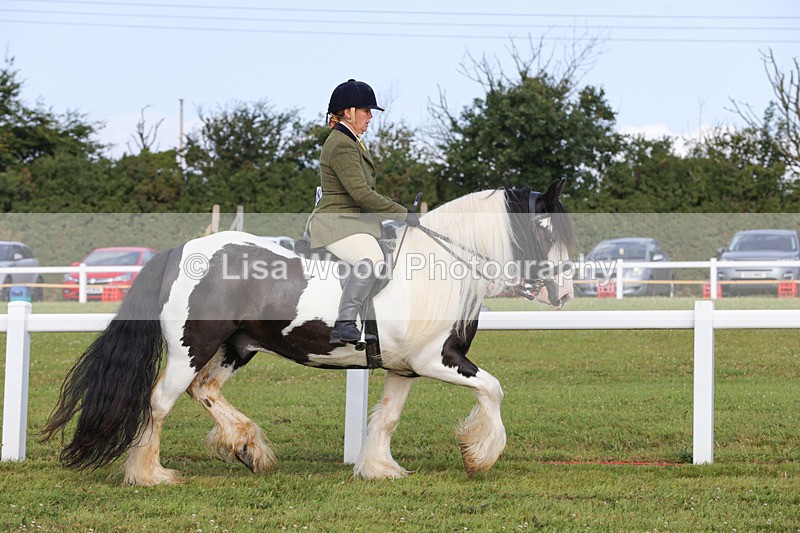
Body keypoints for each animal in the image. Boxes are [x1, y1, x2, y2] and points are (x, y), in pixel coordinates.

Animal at [41, 179, 575, 486]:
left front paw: (379, 469)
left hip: (237, 347)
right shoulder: (435, 360)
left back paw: (248, 447)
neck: (440, 266)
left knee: (204, 390)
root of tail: (180, 251)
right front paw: (478, 456)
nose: (566, 293)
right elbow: (494, 389)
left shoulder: (405, 368)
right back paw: (150, 474)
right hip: (191, 348)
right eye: (545, 228)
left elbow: (387, 417)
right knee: (160, 402)